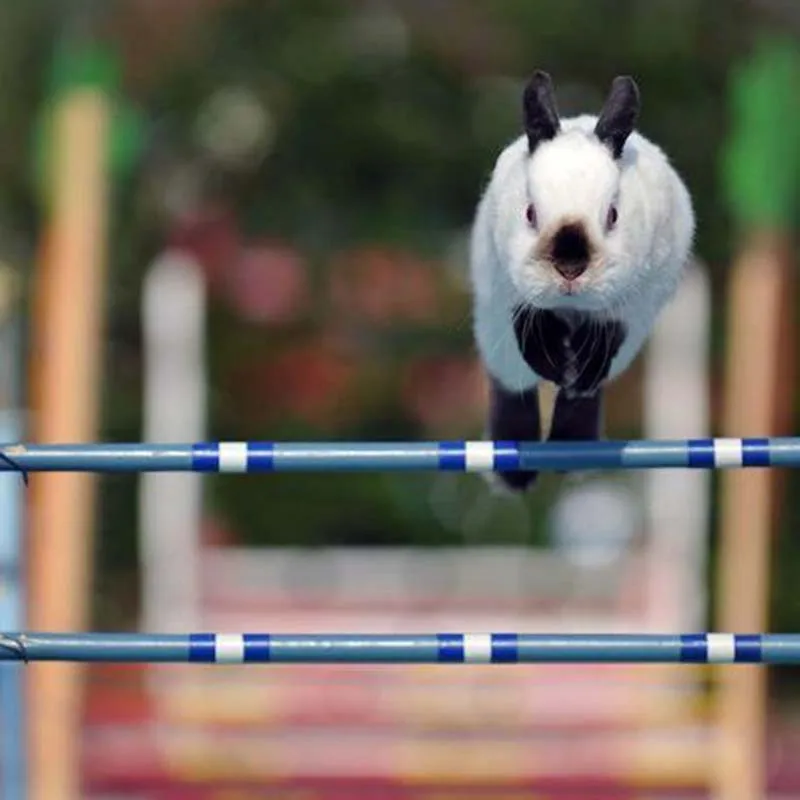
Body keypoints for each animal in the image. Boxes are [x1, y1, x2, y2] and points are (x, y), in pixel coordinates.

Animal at [469, 71, 695, 492]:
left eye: (613, 215)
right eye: (529, 213)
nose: (570, 268)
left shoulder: (632, 310)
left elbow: (603, 343)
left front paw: (578, 372)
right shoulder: (509, 297)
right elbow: (530, 334)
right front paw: (555, 366)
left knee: (584, 390)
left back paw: (569, 447)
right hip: (494, 336)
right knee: (514, 385)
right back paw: (516, 470)